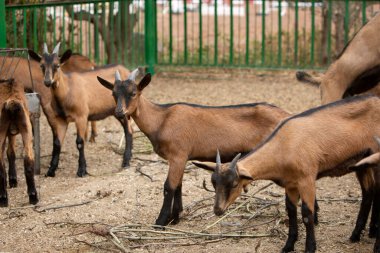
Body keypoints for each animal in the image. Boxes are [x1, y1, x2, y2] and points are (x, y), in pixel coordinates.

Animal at [0, 79, 38, 208]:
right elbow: (11, 153)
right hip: (26, 131)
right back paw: (33, 196)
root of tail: (12, 102)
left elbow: (10, 153)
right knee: (28, 161)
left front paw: (12, 180)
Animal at [28, 43, 132, 177]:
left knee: (129, 130)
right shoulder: (61, 119)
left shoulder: (81, 116)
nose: (47, 81)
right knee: (127, 129)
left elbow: (79, 142)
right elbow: (57, 143)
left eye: (57, 65)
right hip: (116, 111)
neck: (67, 90)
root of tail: (126, 70)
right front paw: (51, 170)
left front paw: (81, 170)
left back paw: (126, 162)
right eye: (41, 65)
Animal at [95, 67, 290, 225]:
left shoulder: (178, 155)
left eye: (133, 93)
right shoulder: (180, 158)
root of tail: (288, 115)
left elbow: (169, 187)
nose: (119, 112)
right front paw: (175, 218)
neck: (161, 119)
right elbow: (178, 185)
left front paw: (160, 222)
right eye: (113, 94)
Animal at [200, 95, 380, 253]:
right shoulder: (290, 184)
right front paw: (288, 246)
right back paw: (358, 234)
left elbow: (307, 214)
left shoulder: (307, 179)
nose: (218, 210)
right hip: (361, 162)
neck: (284, 145)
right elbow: (291, 211)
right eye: (214, 183)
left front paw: (310, 247)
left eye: (234, 184)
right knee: (369, 193)